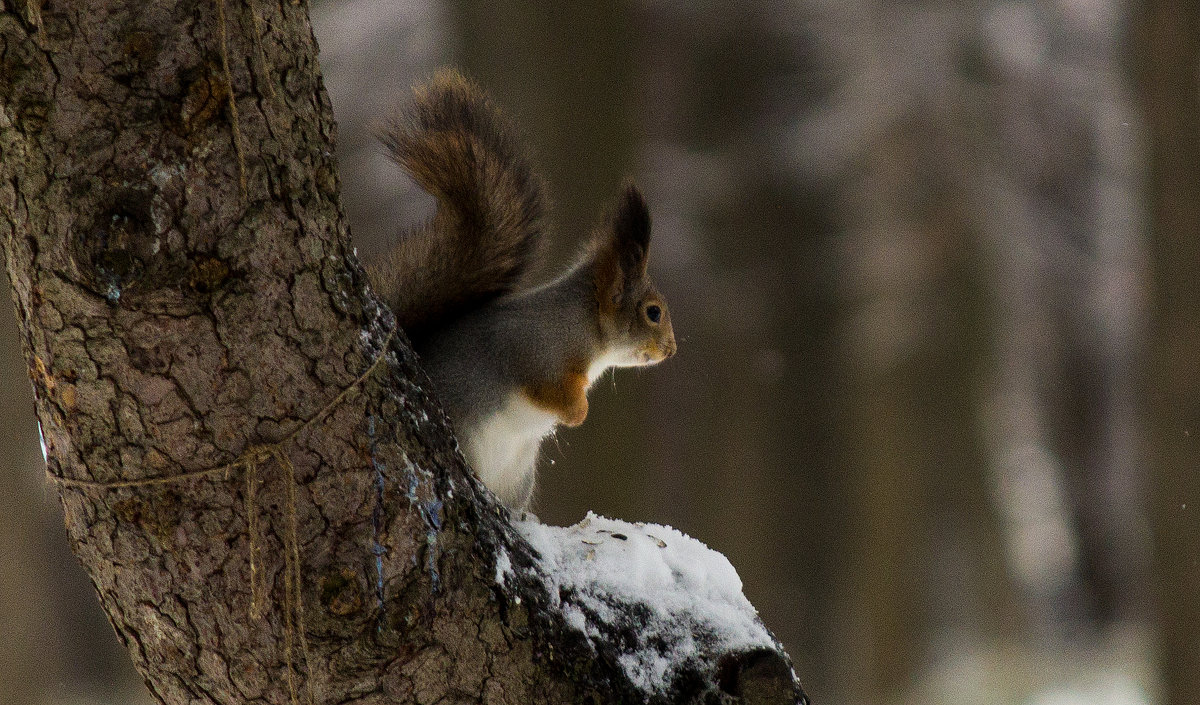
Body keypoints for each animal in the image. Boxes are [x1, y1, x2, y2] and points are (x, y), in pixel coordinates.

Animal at [367, 71, 676, 508]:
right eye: (653, 312)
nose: (672, 350)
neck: (583, 326)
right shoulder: (533, 350)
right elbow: (545, 388)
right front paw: (578, 411)